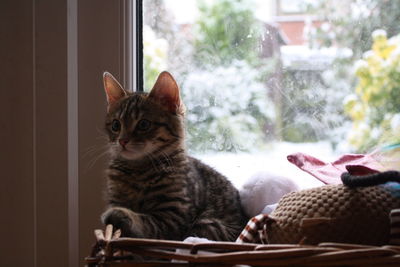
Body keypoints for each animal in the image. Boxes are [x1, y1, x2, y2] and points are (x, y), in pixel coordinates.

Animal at [101, 70, 247, 242]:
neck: (138, 169)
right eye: (116, 125)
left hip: (207, 224)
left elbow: (148, 222)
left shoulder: (174, 215)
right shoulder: (116, 198)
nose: (122, 141)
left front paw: (121, 214)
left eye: (143, 124)